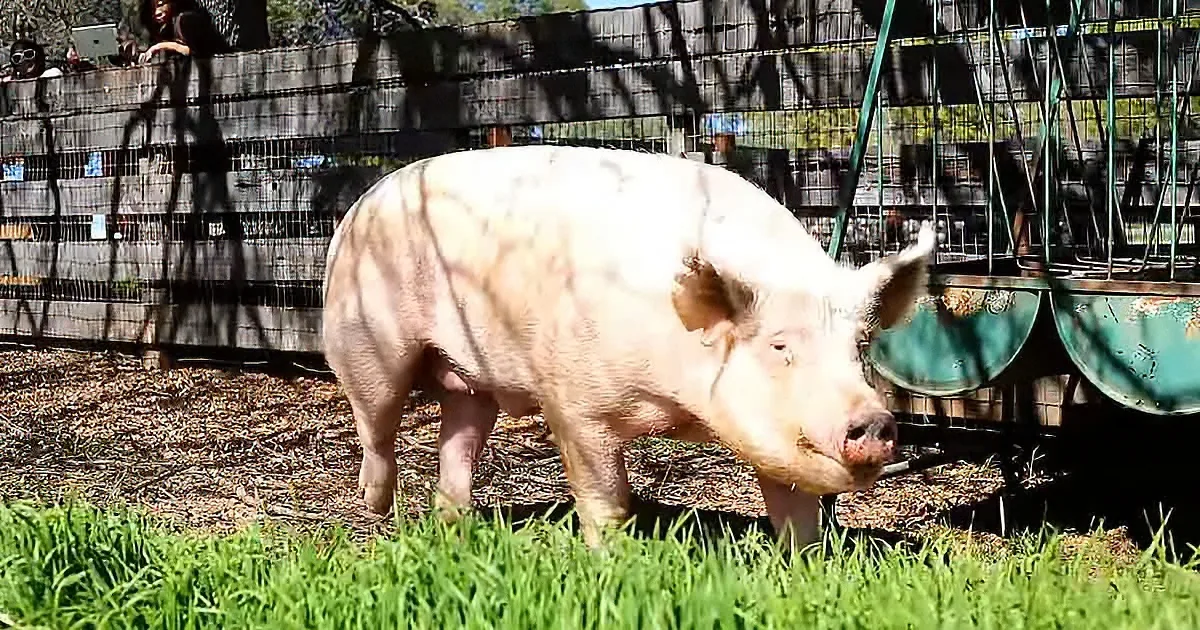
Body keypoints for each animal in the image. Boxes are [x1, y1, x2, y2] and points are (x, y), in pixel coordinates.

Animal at [321, 144, 936, 549]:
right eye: (780, 345)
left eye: (861, 345)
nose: (874, 421)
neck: (677, 405)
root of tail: (358, 206)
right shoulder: (574, 404)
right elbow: (605, 497)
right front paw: (611, 560)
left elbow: (797, 511)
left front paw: (802, 565)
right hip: (365, 340)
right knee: (376, 424)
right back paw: (378, 510)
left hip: (473, 380)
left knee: (459, 435)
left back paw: (452, 525)